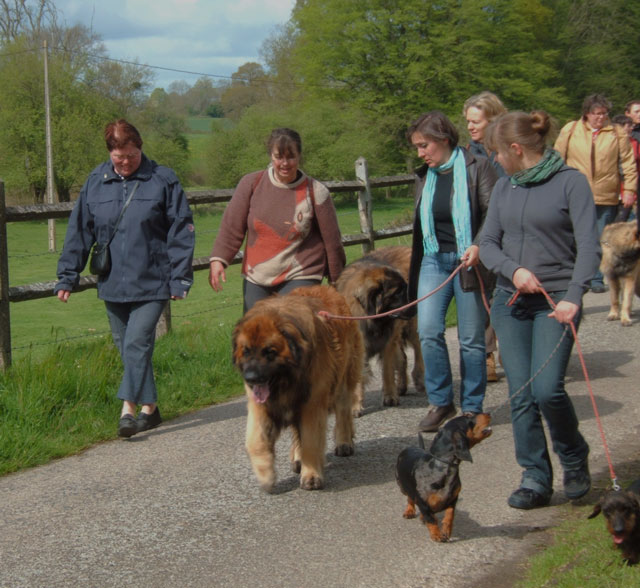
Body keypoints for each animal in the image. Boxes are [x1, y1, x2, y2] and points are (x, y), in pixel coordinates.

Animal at [231, 284, 362, 492]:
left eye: (270, 352)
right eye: (246, 351)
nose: (250, 378)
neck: (286, 381)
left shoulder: (312, 403)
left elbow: (310, 440)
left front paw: (311, 476)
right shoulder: (262, 406)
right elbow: (255, 441)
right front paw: (266, 475)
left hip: (343, 375)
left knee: (343, 411)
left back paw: (344, 442)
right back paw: (297, 457)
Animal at [336, 245, 424, 414]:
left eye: (406, 286)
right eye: (398, 291)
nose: (415, 302)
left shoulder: (388, 341)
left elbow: (387, 370)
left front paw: (390, 396)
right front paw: (356, 404)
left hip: (410, 327)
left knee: (418, 349)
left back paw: (418, 379)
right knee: (403, 357)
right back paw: (402, 386)